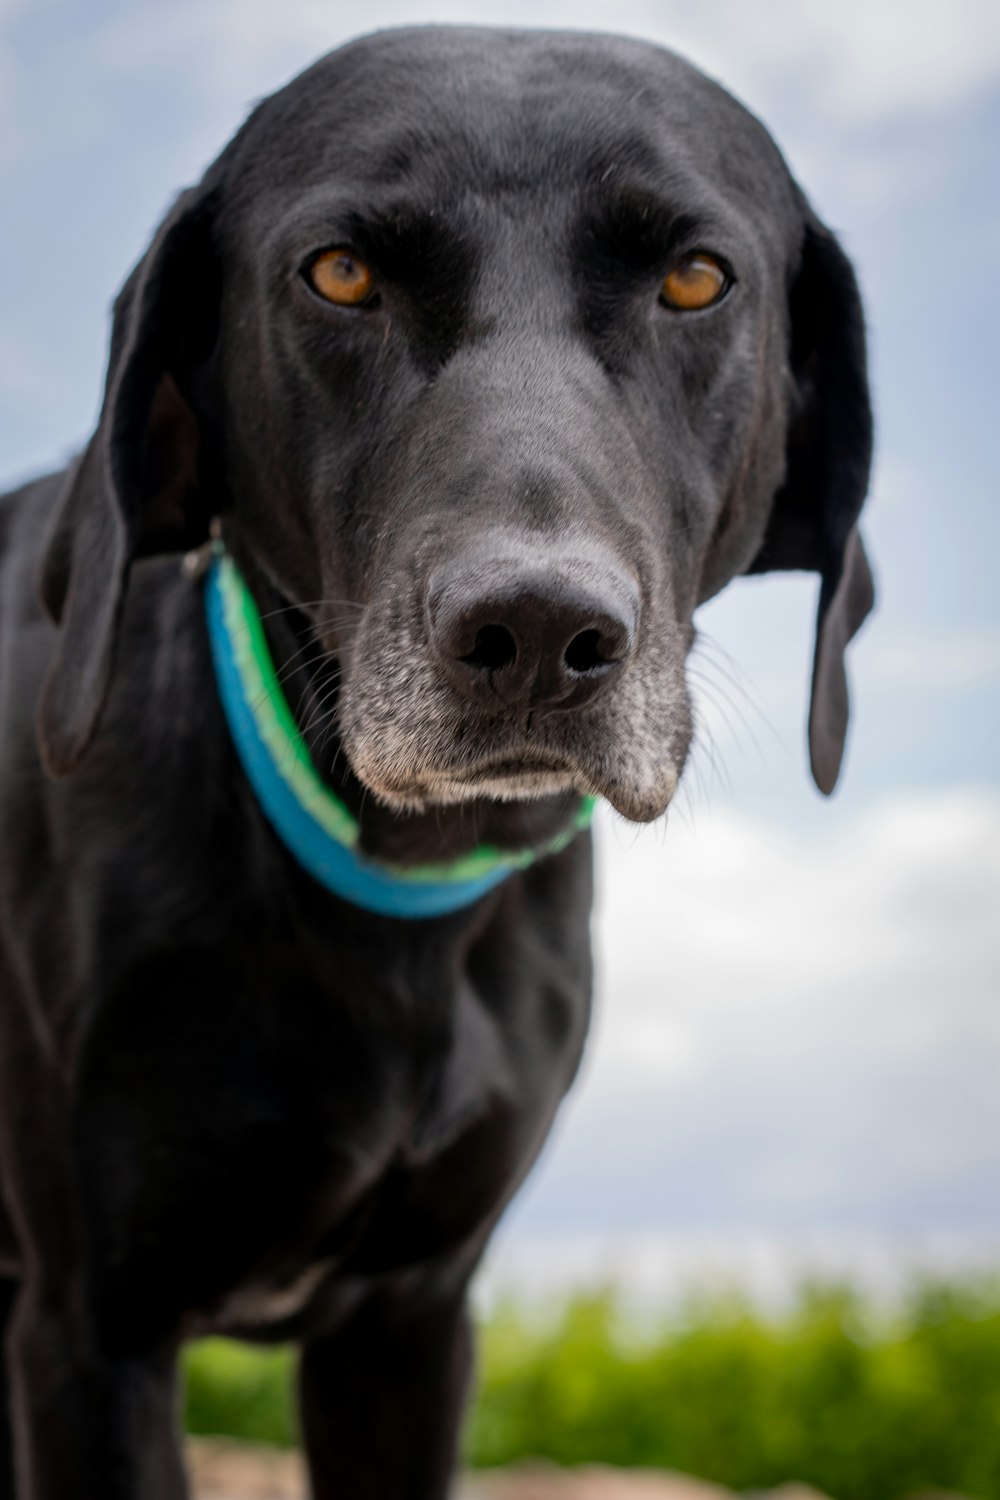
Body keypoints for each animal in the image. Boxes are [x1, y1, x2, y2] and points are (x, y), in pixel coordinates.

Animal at [0, 26, 869, 1500]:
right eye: (341, 272)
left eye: (696, 278)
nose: (535, 633)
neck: (387, 890)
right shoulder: (89, 1334)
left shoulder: (407, 1330)